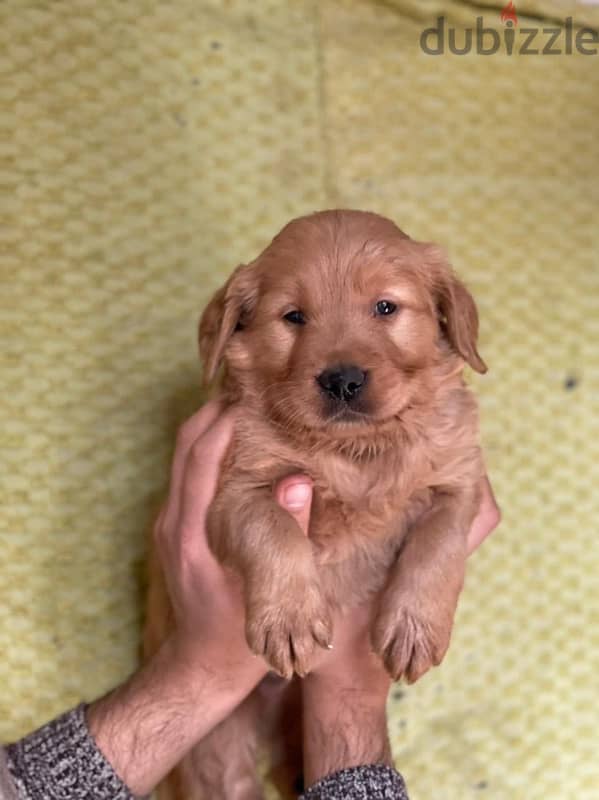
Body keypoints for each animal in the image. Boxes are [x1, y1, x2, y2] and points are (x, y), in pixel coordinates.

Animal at [145, 209, 488, 796]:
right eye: (294, 317)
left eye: (385, 307)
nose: (342, 380)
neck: (356, 451)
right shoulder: (235, 486)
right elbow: (274, 530)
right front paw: (290, 621)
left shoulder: (460, 474)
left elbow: (438, 539)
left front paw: (413, 626)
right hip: (218, 742)